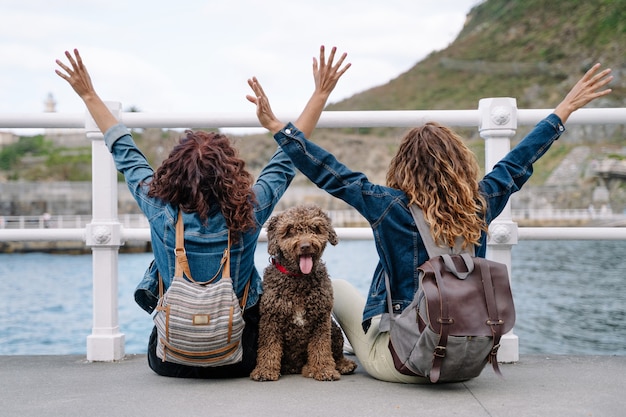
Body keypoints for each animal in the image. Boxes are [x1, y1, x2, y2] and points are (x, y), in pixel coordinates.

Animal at [249, 204, 356, 380]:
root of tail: (296, 367)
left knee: (337, 352)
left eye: (315, 228)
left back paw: (342, 365)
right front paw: (265, 370)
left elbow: (321, 347)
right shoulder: (270, 319)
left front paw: (323, 370)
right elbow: (269, 347)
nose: (305, 246)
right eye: (289, 230)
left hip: (334, 328)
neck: (298, 279)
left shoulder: (321, 319)